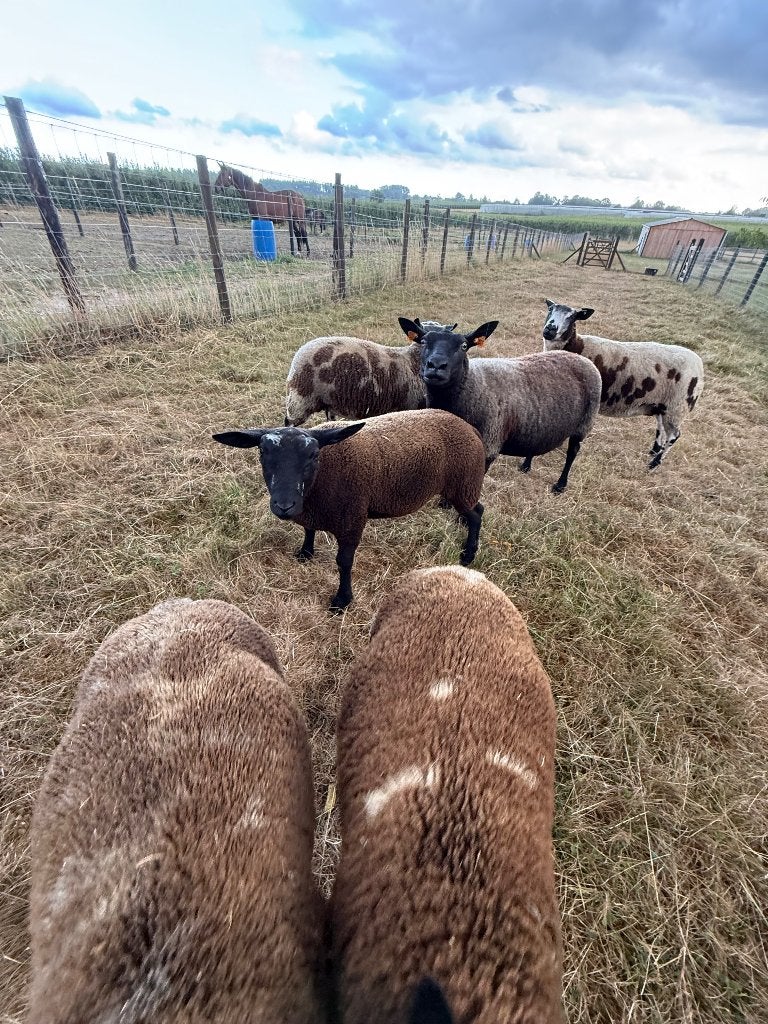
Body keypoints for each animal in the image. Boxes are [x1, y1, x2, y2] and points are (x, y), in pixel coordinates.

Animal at [213, 409, 486, 612]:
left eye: (313, 454)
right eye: (262, 451)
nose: (284, 505)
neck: (322, 475)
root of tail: (469, 428)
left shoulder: (352, 520)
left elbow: (343, 562)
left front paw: (342, 600)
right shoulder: (311, 510)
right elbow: (308, 529)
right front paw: (305, 553)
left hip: (463, 484)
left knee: (476, 514)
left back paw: (468, 554)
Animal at [399, 317, 602, 494]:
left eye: (464, 346)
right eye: (423, 341)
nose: (436, 365)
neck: (472, 385)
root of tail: (582, 359)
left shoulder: (489, 443)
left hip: (584, 424)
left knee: (572, 452)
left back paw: (560, 485)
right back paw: (526, 465)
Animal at [542, 299, 705, 469]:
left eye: (572, 317)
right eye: (550, 309)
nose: (550, 330)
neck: (576, 345)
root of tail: (699, 366)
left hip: (678, 406)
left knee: (674, 436)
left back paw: (654, 463)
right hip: (664, 405)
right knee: (662, 428)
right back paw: (654, 451)